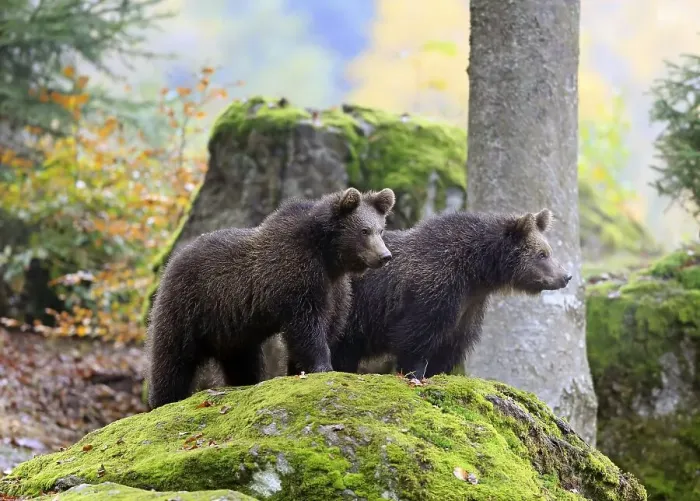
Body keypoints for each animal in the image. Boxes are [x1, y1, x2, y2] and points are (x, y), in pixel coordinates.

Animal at [146, 187, 396, 409]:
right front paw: (322, 366)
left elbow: (330, 324)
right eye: (364, 230)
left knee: (243, 362)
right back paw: (164, 399)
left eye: (381, 229)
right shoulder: (297, 279)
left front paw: (298, 369)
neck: (327, 257)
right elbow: (308, 328)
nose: (385, 256)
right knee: (172, 358)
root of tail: (173, 259)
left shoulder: (336, 290)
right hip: (188, 306)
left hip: (232, 330)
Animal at [327, 208, 572, 380]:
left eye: (548, 251)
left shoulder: (470, 306)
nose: (566, 276)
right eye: (542, 254)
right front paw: (414, 373)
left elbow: (450, 347)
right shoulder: (435, 291)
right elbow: (415, 339)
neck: (476, 272)